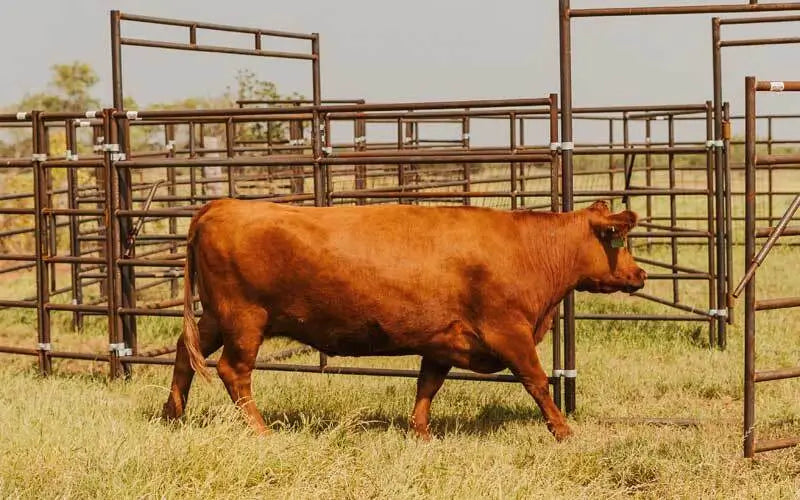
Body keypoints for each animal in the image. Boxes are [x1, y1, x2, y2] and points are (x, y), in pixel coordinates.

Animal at [162, 199, 646, 441]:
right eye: (616, 240)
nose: (640, 274)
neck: (526, 248)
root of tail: (223, 205)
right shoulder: (509, 331)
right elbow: (538, 382)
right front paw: (563, 431)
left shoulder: (442, 341)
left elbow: (426, 386)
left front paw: (421, 433)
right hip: (245, 320)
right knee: (233, 371)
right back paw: (262, 431)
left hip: (215, 318)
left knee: (185, 354)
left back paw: (173, 415)